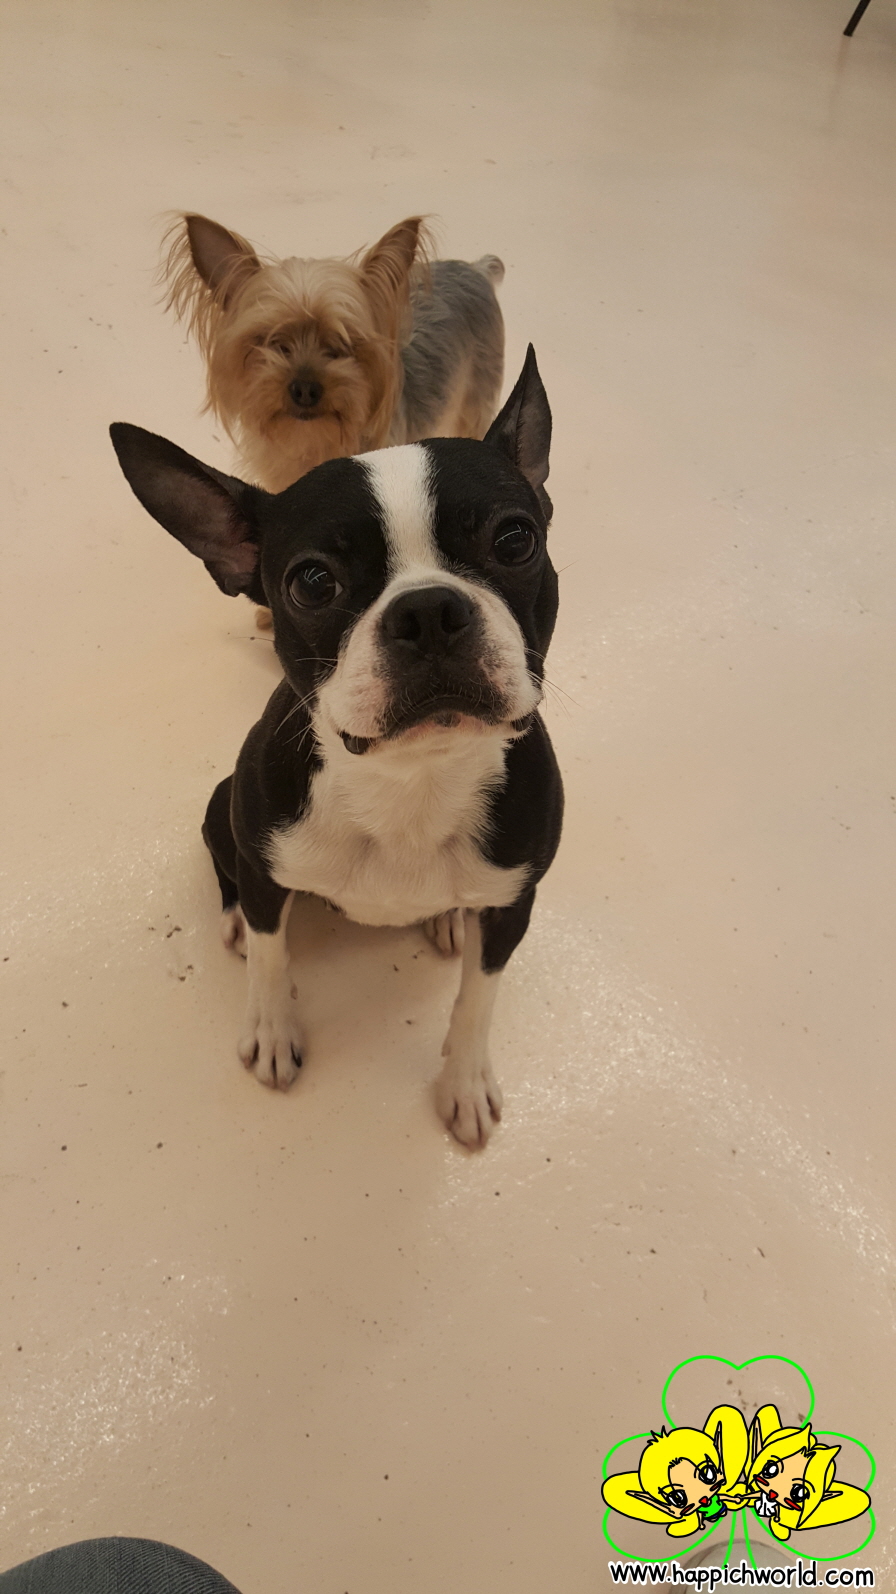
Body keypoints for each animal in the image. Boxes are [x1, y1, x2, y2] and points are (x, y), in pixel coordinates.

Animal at [110, 348, 563, 1148]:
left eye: (515, 540)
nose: (428, 610)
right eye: (312, 582)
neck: (410, 784)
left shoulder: (515, 903)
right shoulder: (266, 861)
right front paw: (271, 1030)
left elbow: (478, 1000)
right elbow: (269, 958)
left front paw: (464, 1083)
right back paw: (233, 918)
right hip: (221, 804)